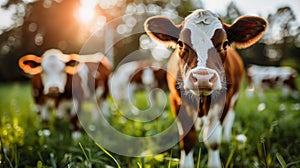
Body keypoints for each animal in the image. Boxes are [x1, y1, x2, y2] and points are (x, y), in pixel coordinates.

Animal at [144, 9, 266, 168]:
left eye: (225, 43)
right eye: (180, 43)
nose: (202, 77)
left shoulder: (223, 101)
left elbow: (213, 140)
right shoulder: (177, 101)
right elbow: (188, 139)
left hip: (235, 97)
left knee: (229, 118)